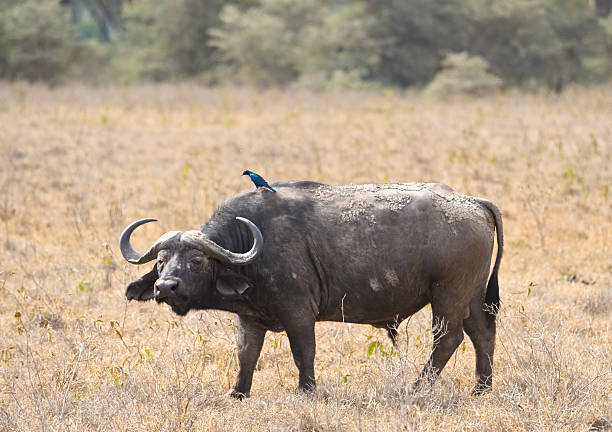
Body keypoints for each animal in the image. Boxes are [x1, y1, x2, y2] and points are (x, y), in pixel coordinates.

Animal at [119, 181, 502, 396]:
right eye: (161, 262)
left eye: (197, 260)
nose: (166, 286)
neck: (254, 245)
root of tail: (472, 202)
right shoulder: (250, 319)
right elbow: (246, 355)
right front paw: (237, 393)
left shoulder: (299, 314)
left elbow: (303, 352)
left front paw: (307, 390)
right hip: (471, 295)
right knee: (481, 332)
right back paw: (481, 388)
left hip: (448, 294)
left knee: (448, 338)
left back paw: (418, 386)